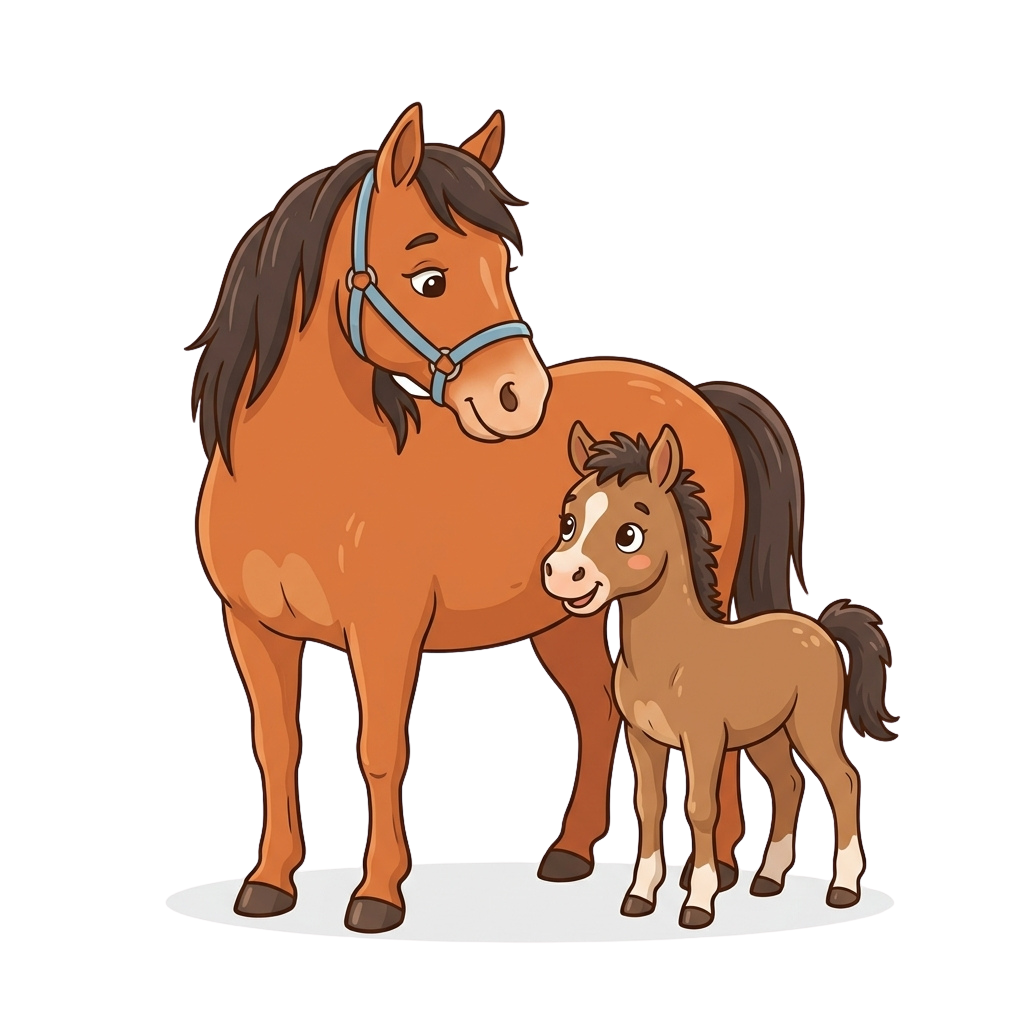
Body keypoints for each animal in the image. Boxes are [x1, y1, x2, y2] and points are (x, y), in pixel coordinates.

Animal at [187, 102, 806, 933]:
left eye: (502, 269)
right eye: (430, 278)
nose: (522, 396)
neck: (308, 476)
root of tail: (697, 395)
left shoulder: (384, 633)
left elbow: (380, 748)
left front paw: (377, 895)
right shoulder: (253, 629)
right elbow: (276, 745)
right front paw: (267, 884)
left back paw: (722, 870)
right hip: (565, 617)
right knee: (597, 711)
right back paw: (571, 854)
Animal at [542, 422, 896, 928]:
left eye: (629, 534)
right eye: (568, 521)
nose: (564, 573)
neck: (670, 657)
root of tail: (821, 629)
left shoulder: (703, 739)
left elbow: (700, 809)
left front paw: (698, 904)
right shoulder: (642, 737)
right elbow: (648, 806)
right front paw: (639, 897)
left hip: (810, 727)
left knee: (843, 781)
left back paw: (844, 889)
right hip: (767, 734)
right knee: (789, 784)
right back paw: (768, 880)